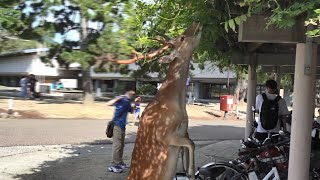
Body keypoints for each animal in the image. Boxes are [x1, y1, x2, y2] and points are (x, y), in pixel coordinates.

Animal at [95, 21, 201, 179]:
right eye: (182, 38)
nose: (196, 23)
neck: (178, 105)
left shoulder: (184, 131)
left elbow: (189, 145)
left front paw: (188, 171)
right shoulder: (166, 135)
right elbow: (191, 144)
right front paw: (191, 172)